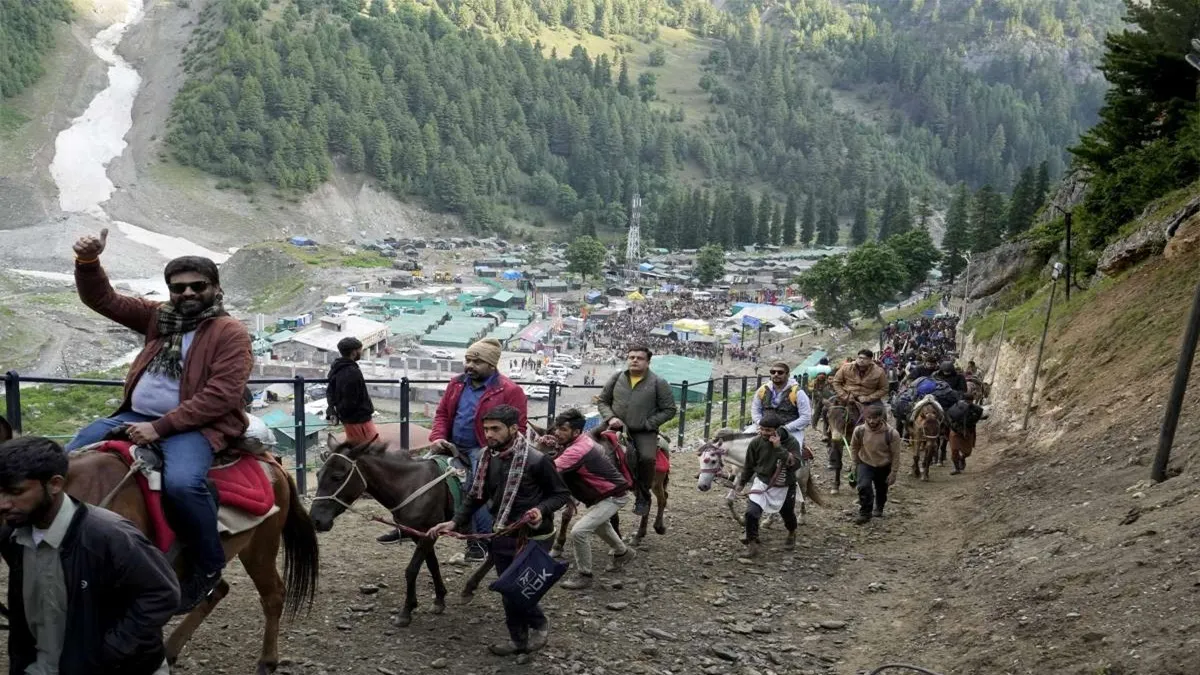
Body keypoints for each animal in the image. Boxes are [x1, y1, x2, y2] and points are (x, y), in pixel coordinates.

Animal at [0, 415, 319, 672]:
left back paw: (267, 662)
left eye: (14, 489)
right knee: (215, 591)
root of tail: (274, 464)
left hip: (260, 546)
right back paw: (172, 650)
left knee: (273, 595)